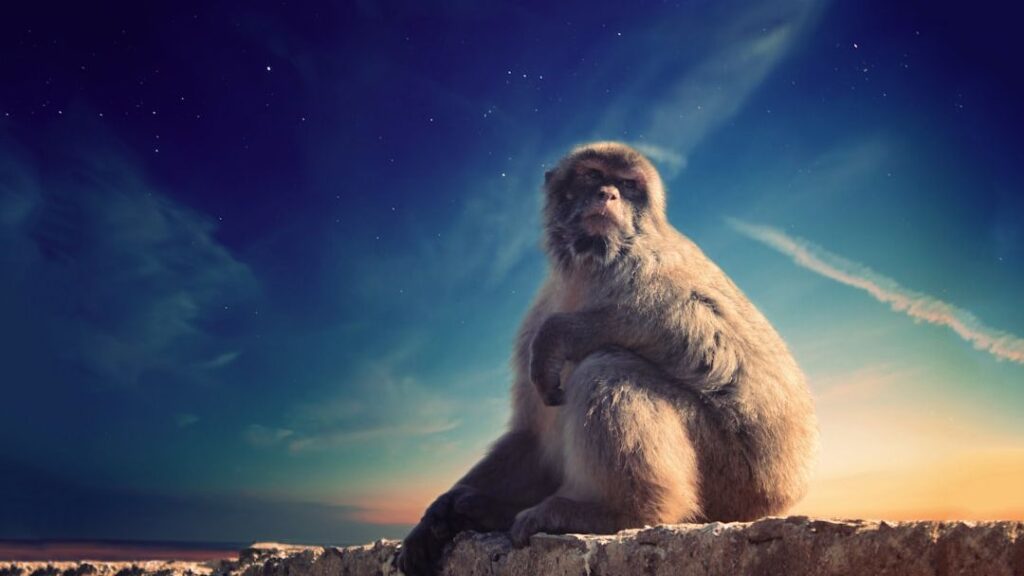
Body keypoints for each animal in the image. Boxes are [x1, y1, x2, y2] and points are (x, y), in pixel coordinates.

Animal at [396, 142, 817, 576]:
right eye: (594, 176)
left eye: (628, 185)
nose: (608, 195)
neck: (587, 266)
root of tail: (782, 493)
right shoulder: (538, 312)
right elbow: (532, 435)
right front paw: (438, 513)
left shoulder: (648, 262)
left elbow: (708, 332)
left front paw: (563, 333)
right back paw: (489, 510)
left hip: (731, 478)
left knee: (606, 365)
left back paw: (616, 511)